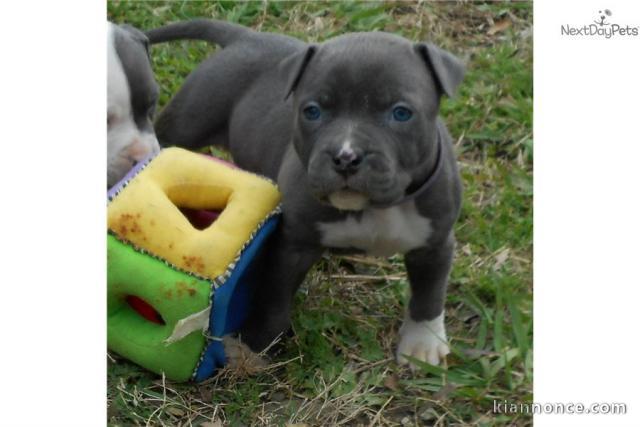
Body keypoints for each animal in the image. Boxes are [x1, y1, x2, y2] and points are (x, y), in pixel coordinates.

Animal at [148, 18, 462, 370]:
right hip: (190, 118)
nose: (345, 157)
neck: (374, 208)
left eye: (401, 113)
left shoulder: (435, 243)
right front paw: (254, 346)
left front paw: (423, 345)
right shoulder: (292, 245)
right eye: (312, 111)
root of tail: (245, 36)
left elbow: (429, 294)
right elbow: (273, 299)